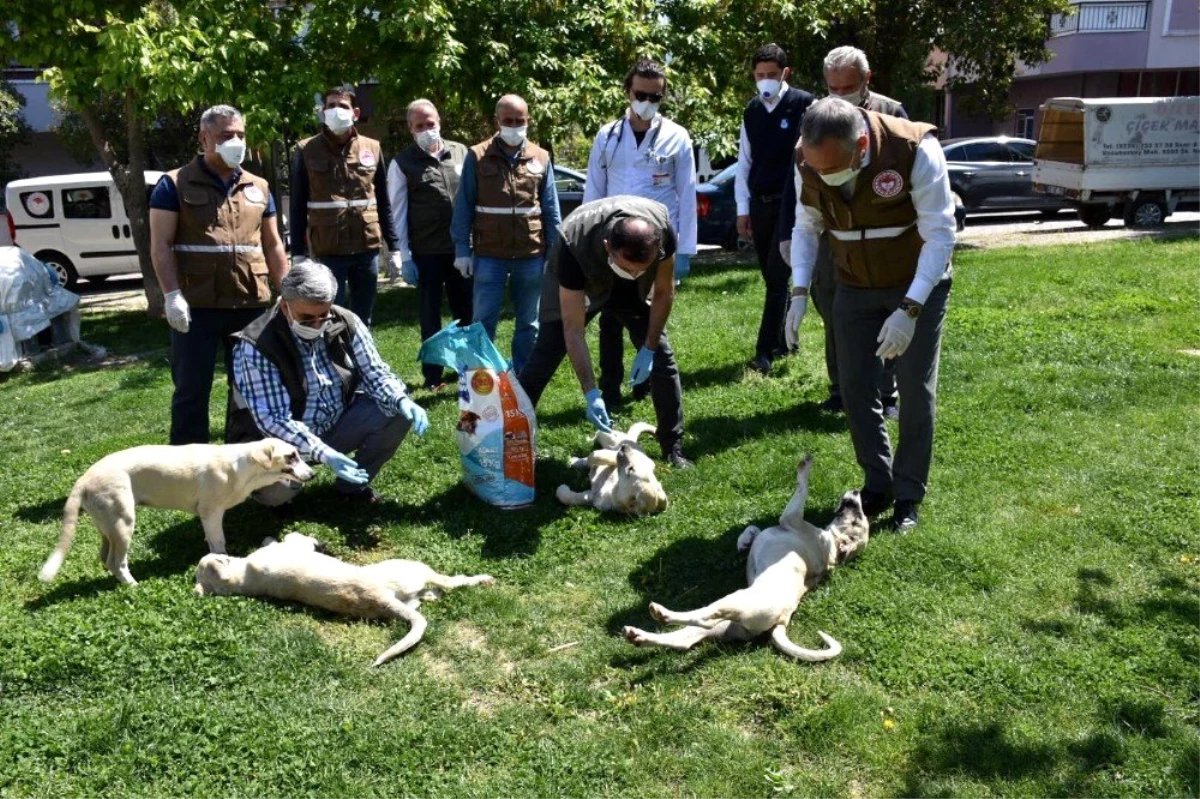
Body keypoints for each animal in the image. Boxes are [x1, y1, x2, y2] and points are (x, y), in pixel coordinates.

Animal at [41, 439, 314, 583]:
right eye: (291, 456)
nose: (312, 475)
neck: (243, 467)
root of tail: (83, 479)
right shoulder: (211, 513)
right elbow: (218, 543)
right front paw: (223, 562)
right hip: (123, 522)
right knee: (116, 561)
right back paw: (132, 585)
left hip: (107, 525)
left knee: (104, 557)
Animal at [194, 535, 494, 667]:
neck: (243, 577)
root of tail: (383, 600)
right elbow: (293, 538)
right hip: (416, 568)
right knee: (451, 583)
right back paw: (484, 579)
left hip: (413, 597)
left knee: (433, 594)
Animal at [624, 453, 868, 657]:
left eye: (858, 519)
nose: (857, 492)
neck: (831, 545)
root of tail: (782, 620)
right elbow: (753, 528)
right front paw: (744, 542)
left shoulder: (791, 517)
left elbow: (802, 487)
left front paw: (805, 466)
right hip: (723, 625)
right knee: (683, 640)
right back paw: (638, 636)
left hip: (737, 601)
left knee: (704, 616)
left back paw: (661, 613)